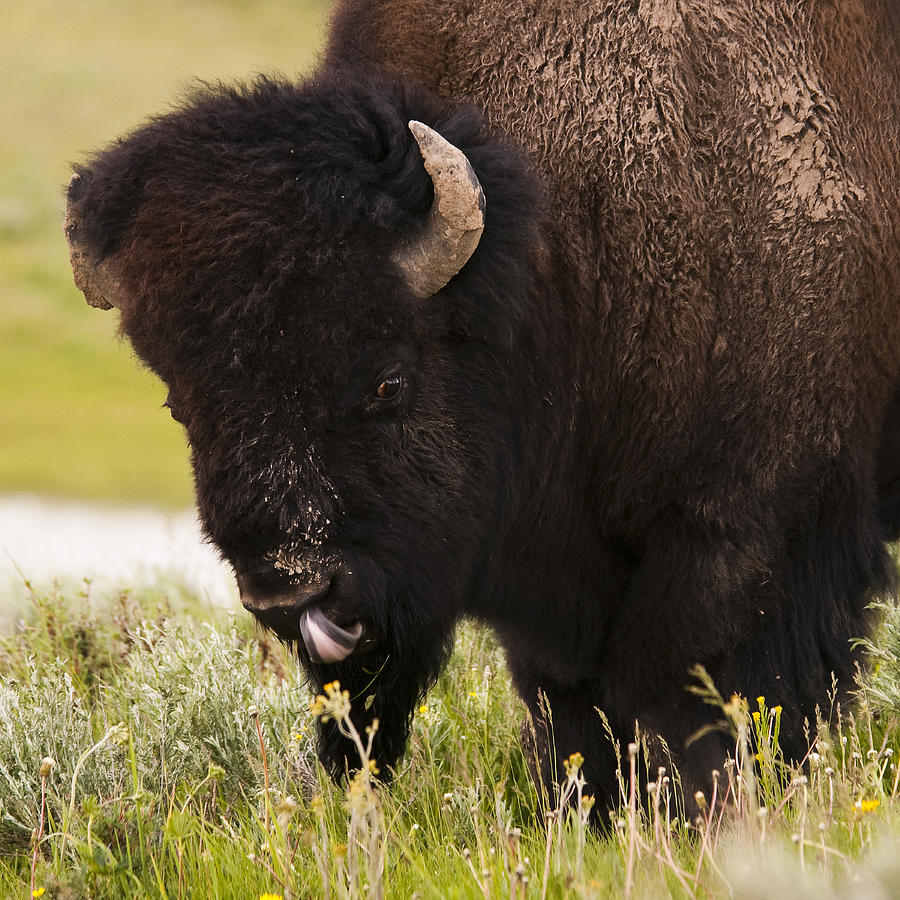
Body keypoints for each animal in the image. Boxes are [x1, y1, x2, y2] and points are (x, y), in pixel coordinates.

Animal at [65, 0, 900, 812]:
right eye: (180, 406)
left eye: (388, 382)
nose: (292, 591)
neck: (556, 251)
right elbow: (569, 703)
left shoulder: (746, 528)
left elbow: (682, 693)